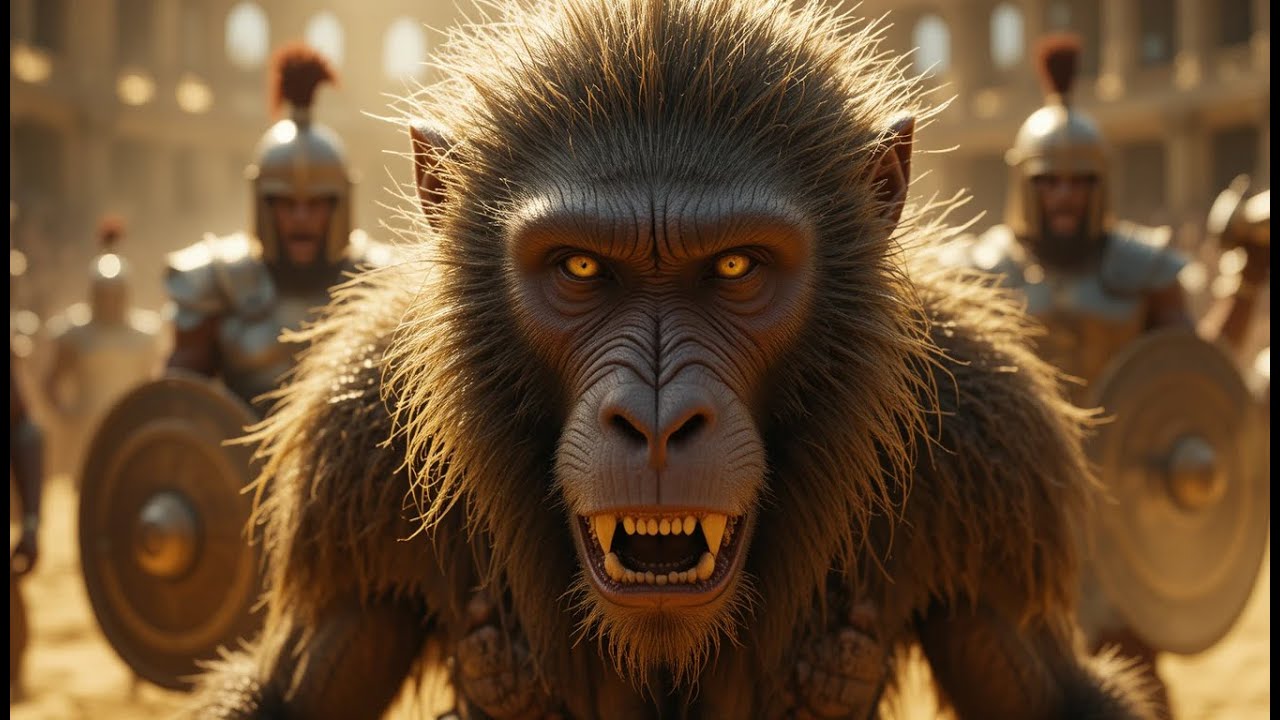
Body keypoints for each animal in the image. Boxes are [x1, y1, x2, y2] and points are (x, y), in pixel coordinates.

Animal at [189, 1, 1153, 718]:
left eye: (735, 267)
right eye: (580, 267)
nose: (655, 420)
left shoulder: (994, 467)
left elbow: (1050, 691)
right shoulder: (350, 466)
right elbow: (292, 690)